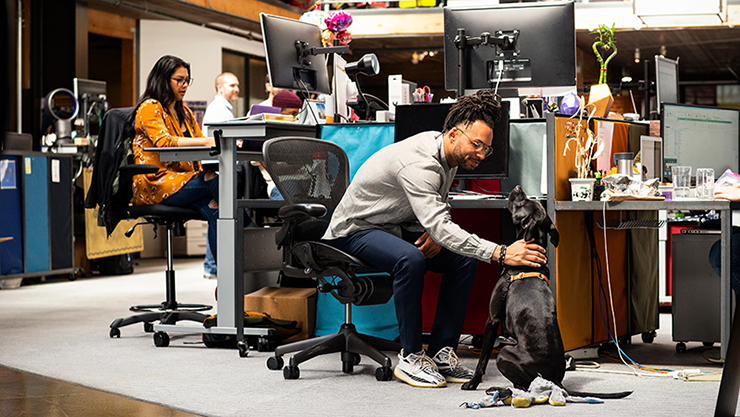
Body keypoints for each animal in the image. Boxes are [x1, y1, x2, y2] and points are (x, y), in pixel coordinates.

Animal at [462, 184, 560, 388]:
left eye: (524, 202)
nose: (517, 187)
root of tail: (554, 381)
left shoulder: (492, 319)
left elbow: (483, 358)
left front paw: (473, 382)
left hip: (504, 352)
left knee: (522, 386)